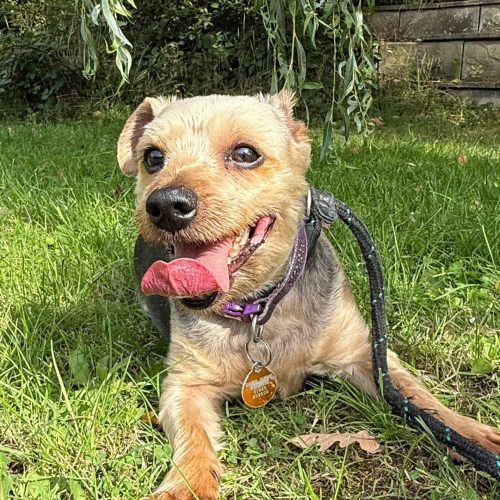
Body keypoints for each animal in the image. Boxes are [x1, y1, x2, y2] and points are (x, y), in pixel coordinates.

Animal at [117, 91, 500, 499]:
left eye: (245, 153)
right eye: (152, 157)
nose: (165, 205)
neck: (260, 305)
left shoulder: (366, 353)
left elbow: (422, 401)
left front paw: (472, 434)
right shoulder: (185, 382)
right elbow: (192, 434)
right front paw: (187, 485)